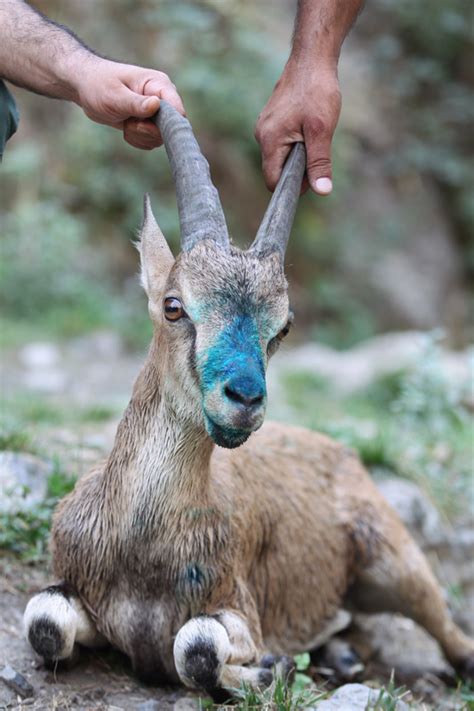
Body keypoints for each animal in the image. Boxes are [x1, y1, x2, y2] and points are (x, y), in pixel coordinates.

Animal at [25, 101, 470, 696]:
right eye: (173, 306)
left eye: (282, 328)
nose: (244, 397)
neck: (141, 544)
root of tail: (343, 453)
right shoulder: (76, 585)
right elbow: (45, 623)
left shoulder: (238, 602)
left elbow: (195, 647)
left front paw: (268, 666)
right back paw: (342, 656)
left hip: (395, 559)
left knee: (448, 631)